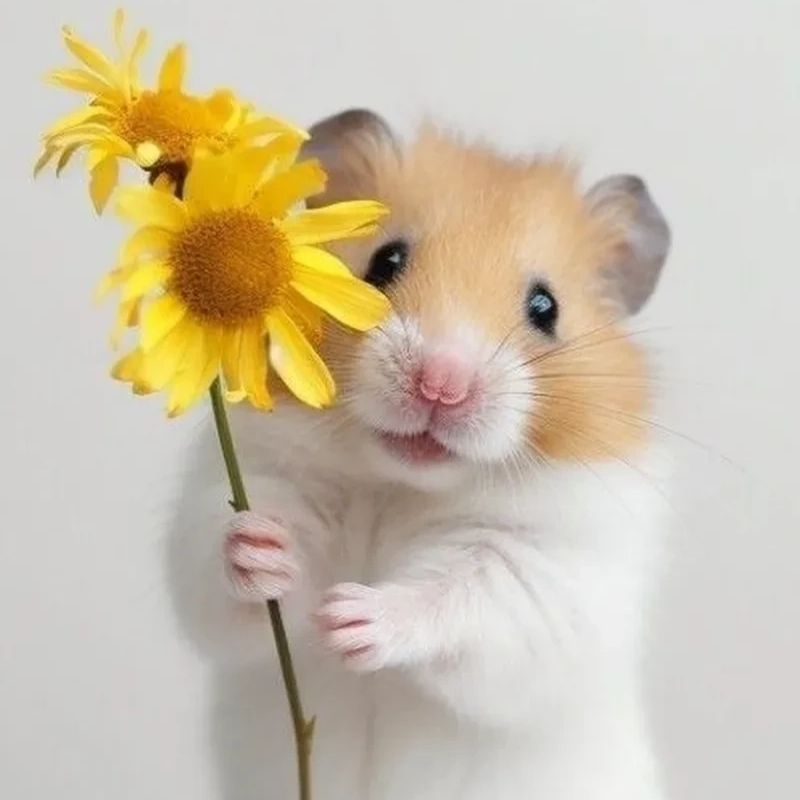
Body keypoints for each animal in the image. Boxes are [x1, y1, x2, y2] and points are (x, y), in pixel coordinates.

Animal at [168, 110, 672, 800]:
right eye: (385, 261)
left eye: (546, 308)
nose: (441, 383)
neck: (402, 483)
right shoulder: (259, 483)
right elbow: (225, 571)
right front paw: (262, 546)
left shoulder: (543, 572)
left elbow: (456, 599)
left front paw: (349, 617)